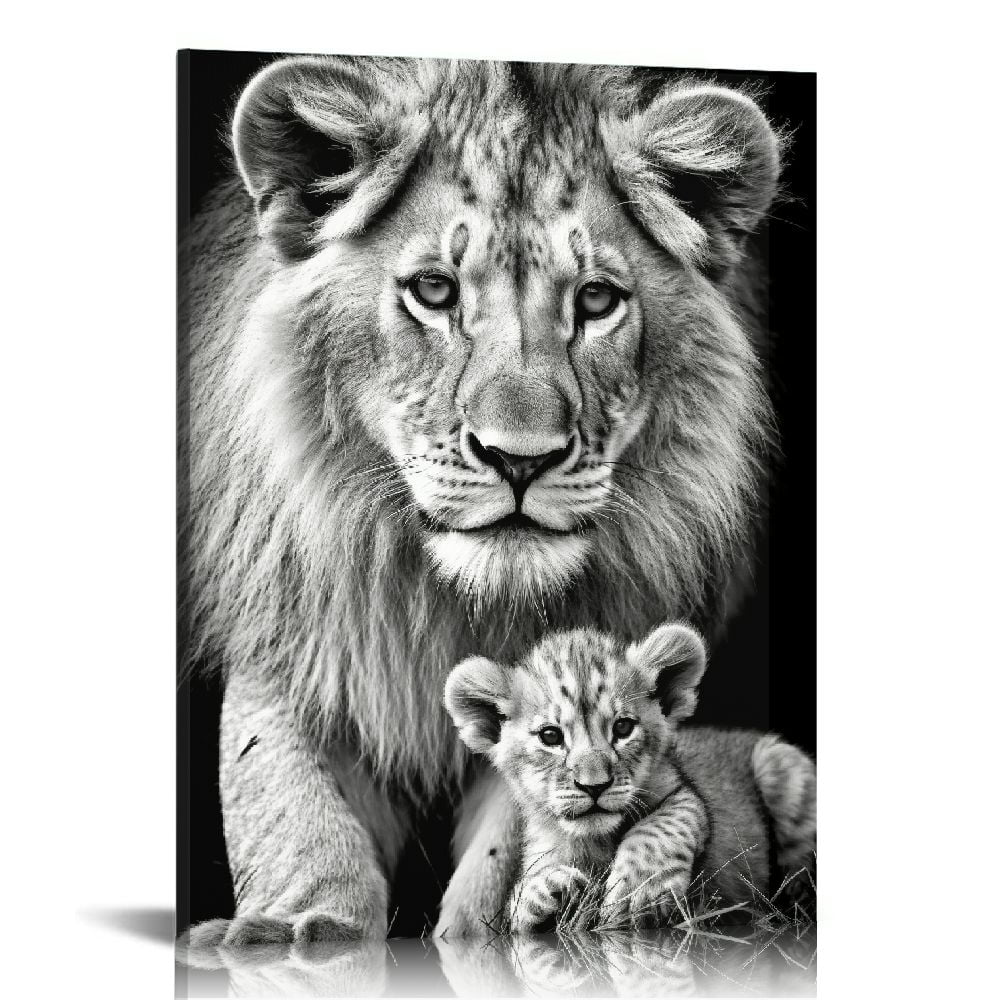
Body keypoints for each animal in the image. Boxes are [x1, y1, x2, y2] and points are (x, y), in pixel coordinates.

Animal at [179, 56, 781, 948]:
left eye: (596, 300)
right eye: (434, 290)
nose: (519, 458)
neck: (451, 599)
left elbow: (512, 840)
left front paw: (494, 927)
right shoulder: (293, 623)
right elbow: (285, 795)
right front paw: (300, 924)